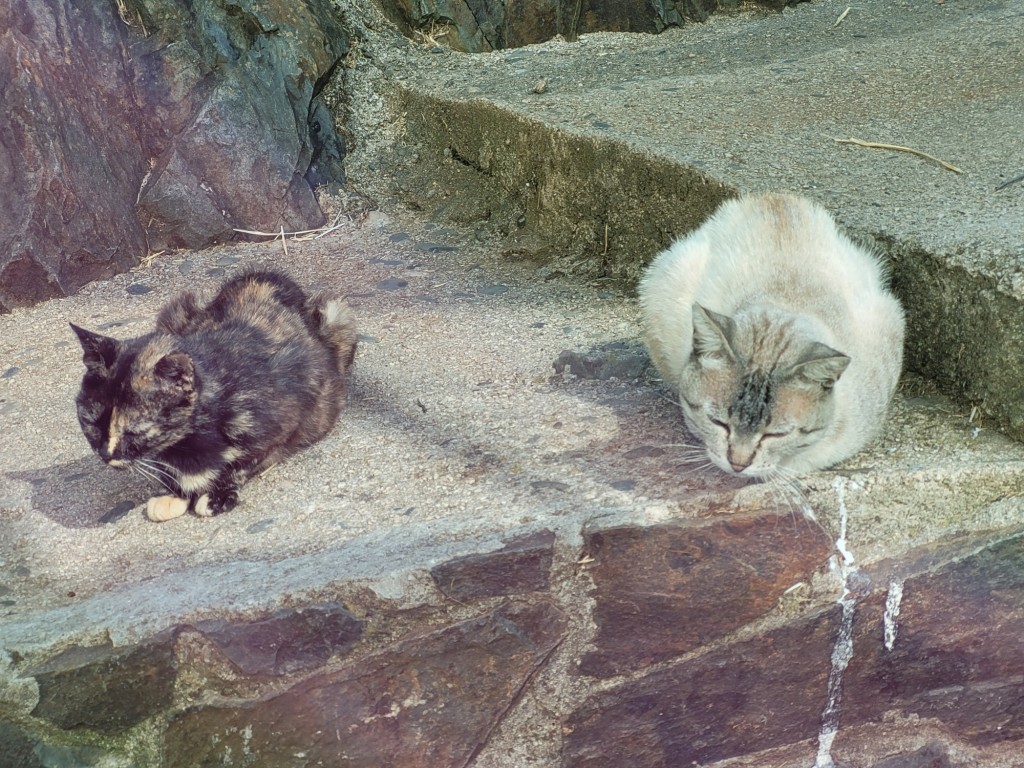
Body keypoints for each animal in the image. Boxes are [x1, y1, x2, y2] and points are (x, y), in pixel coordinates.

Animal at [69, 268, 356, 524]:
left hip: (338, 316)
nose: (105, 455)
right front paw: (176, 493)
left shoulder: (289, 419)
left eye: (135, 431)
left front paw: (217, 495)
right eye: (90, 422)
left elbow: (245, 462)